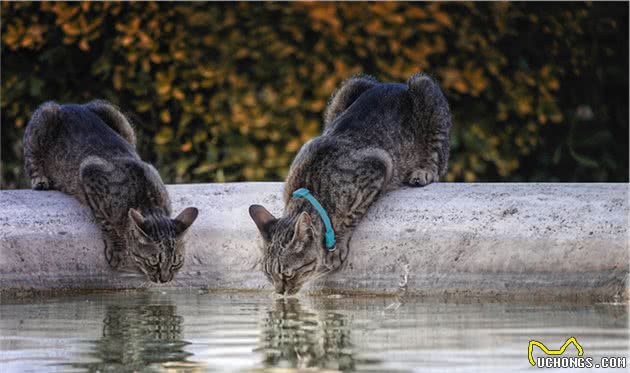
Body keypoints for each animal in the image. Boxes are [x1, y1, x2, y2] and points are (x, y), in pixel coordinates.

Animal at [24, 100, 198, 280]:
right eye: (153, 262)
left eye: (176, 263)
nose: (165, 279)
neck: (149, 201)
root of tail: (71, 104)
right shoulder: (89, 172)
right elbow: (107, 223)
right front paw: (117, 249)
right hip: (45, 115)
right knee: (31, 159)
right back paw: (40, 180)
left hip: (116, 116)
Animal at [249, 72, 452, 294]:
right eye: (268, 275)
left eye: (288, 274)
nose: (280, 292)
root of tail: (395, 83)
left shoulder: (381, 165)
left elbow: (350, 217)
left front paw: (336, 247)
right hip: (349, 87)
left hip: (424, 87)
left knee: (438, 157)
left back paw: (424, 171)